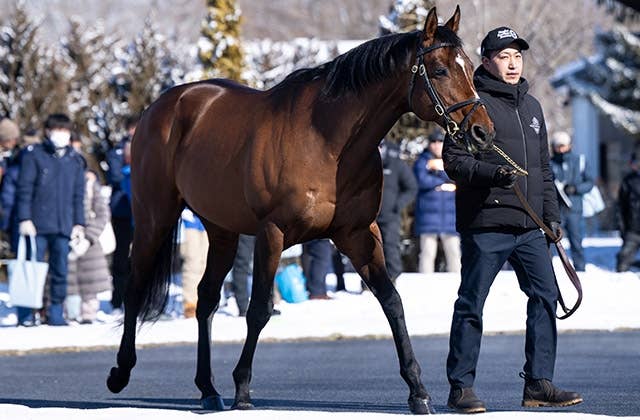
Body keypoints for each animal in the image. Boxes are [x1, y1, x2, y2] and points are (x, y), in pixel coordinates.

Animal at [106, 6, 495, 415]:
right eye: (439, 70)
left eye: (470, 67)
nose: (483, 132)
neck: (327, 142)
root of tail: (163, 106)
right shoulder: (272, 233)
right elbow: (259, 309)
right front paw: (243, 389)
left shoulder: (358, 234)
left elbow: (391, 300)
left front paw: (418, 390)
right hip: (155, 217)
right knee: (135, 285)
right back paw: (121, 371)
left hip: (221, 230)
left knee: (207, 298)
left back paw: (208, 388)